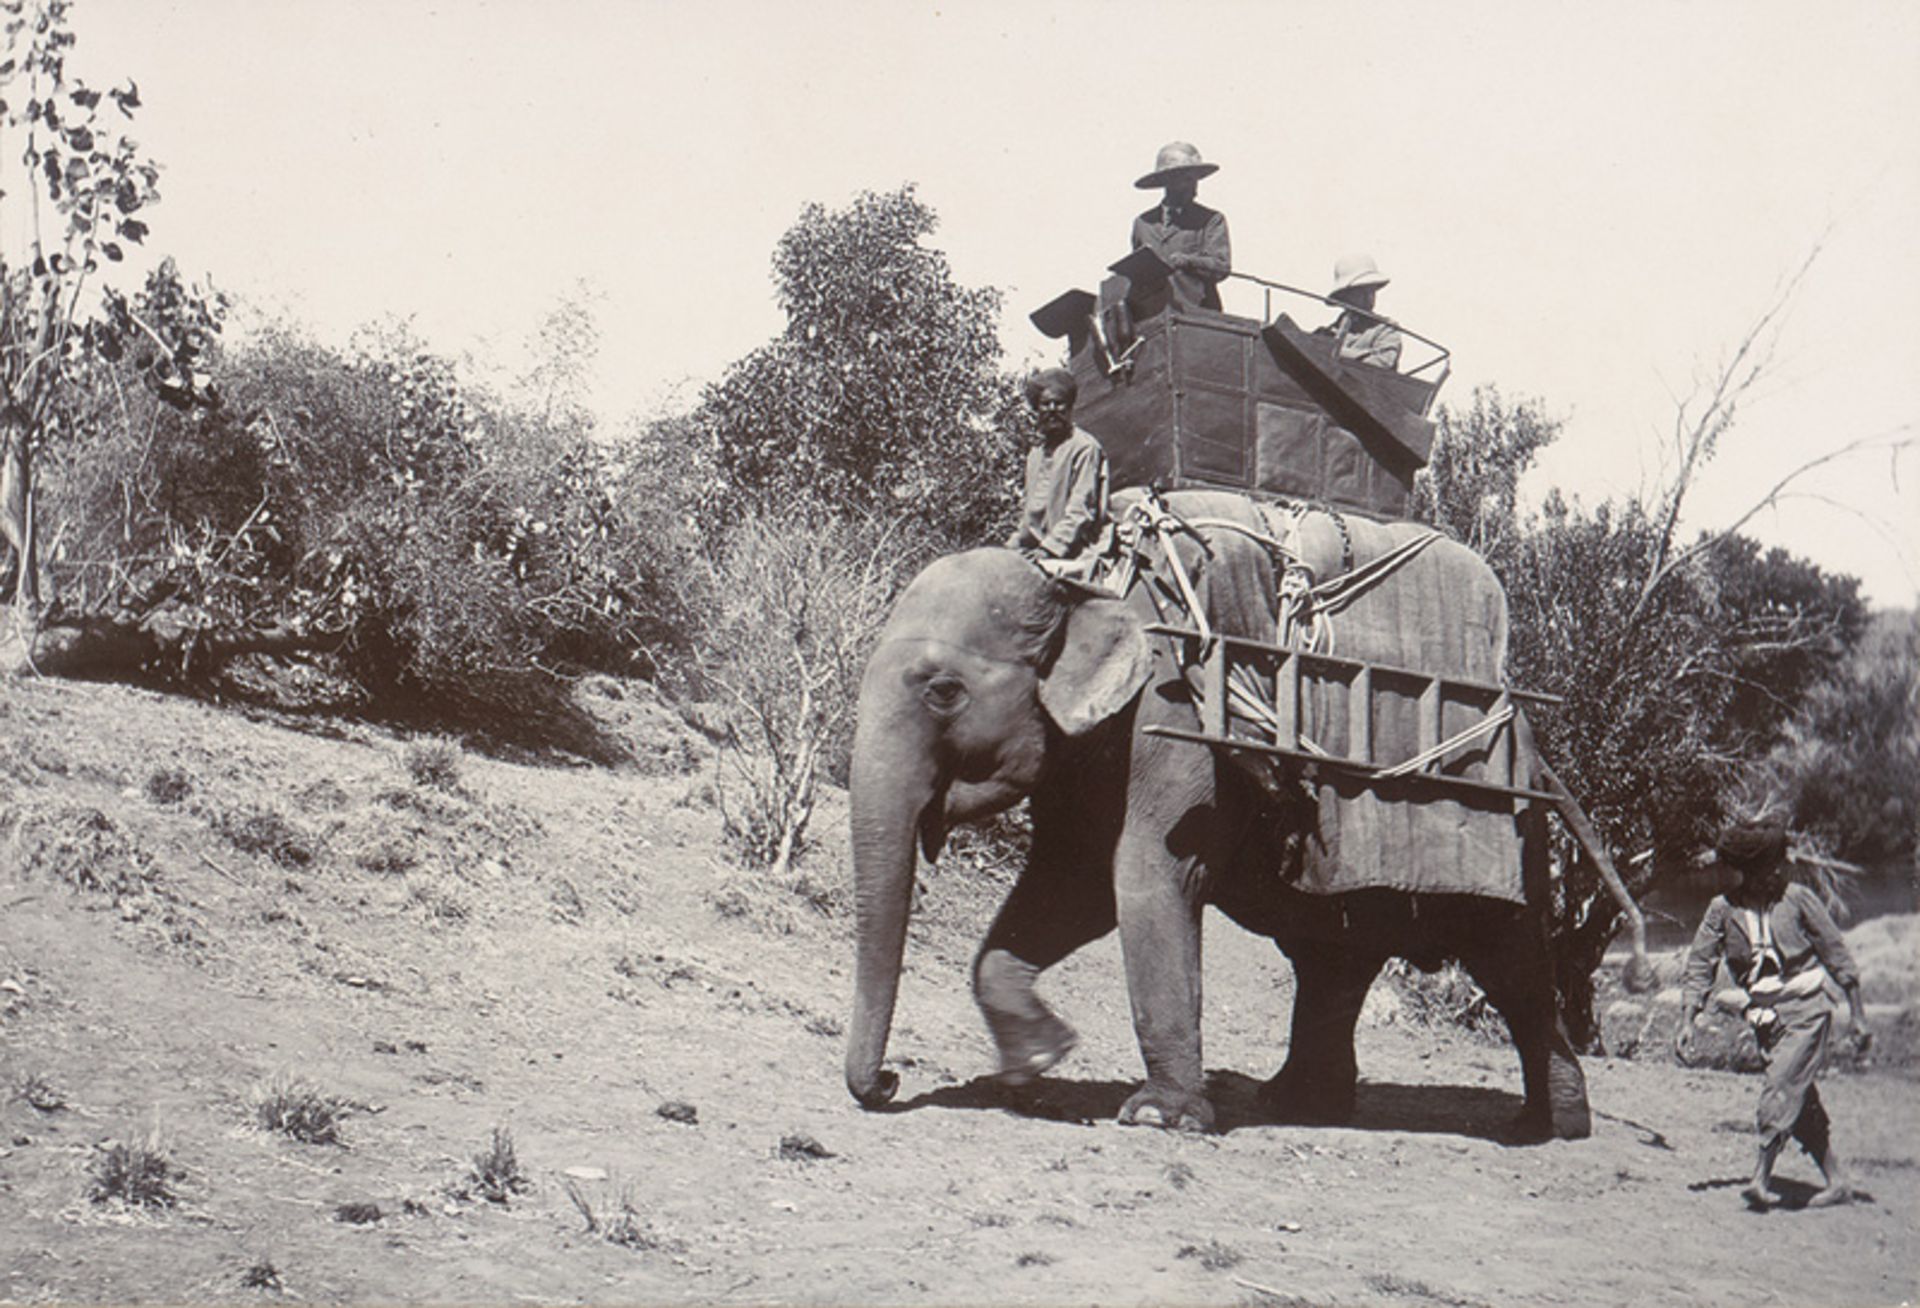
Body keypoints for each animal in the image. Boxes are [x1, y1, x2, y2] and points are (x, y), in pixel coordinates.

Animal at [840, 489, 1651, 1129]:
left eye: (943, 691)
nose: (890, 1083)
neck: (1091, 579)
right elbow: (1072, 886)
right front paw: (1036, 1062)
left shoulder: (1174, 707)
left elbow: (1150, 874)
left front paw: (1157, 1118)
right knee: (1333, 956)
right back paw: (1297, 1104)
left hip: (1510, 824)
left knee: (1509, 957)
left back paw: (1546, 1129)